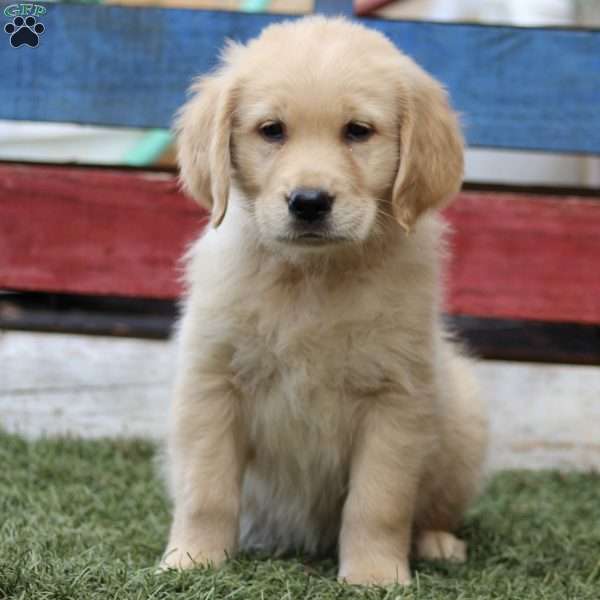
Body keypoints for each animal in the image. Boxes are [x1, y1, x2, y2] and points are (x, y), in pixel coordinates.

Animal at [163, 15, 488, 584]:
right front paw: (192, 560)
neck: (313, 275)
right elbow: (206, 491)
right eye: (272, 130)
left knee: (433, 508)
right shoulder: (211, 384)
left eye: (357, 131)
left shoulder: (396, 398)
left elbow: (378, 503)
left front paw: (375, 576)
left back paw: (435, 541)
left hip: (464, 422)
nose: (309, 202)